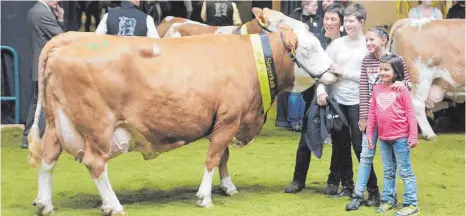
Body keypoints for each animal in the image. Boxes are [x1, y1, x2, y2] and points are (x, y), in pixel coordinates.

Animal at [27, 17, 334, 216]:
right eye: (309, 49)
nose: (335, 71)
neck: (254, 61)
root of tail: (68, 39)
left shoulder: (222, 120)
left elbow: (223, 157)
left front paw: (228, 187)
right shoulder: (229, 119)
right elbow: (213, 157)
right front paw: (205, 197)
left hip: (55, 123)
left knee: (47, 158)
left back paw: (45, 204)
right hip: (97, 126)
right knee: (95, 163)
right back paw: (113, 205)